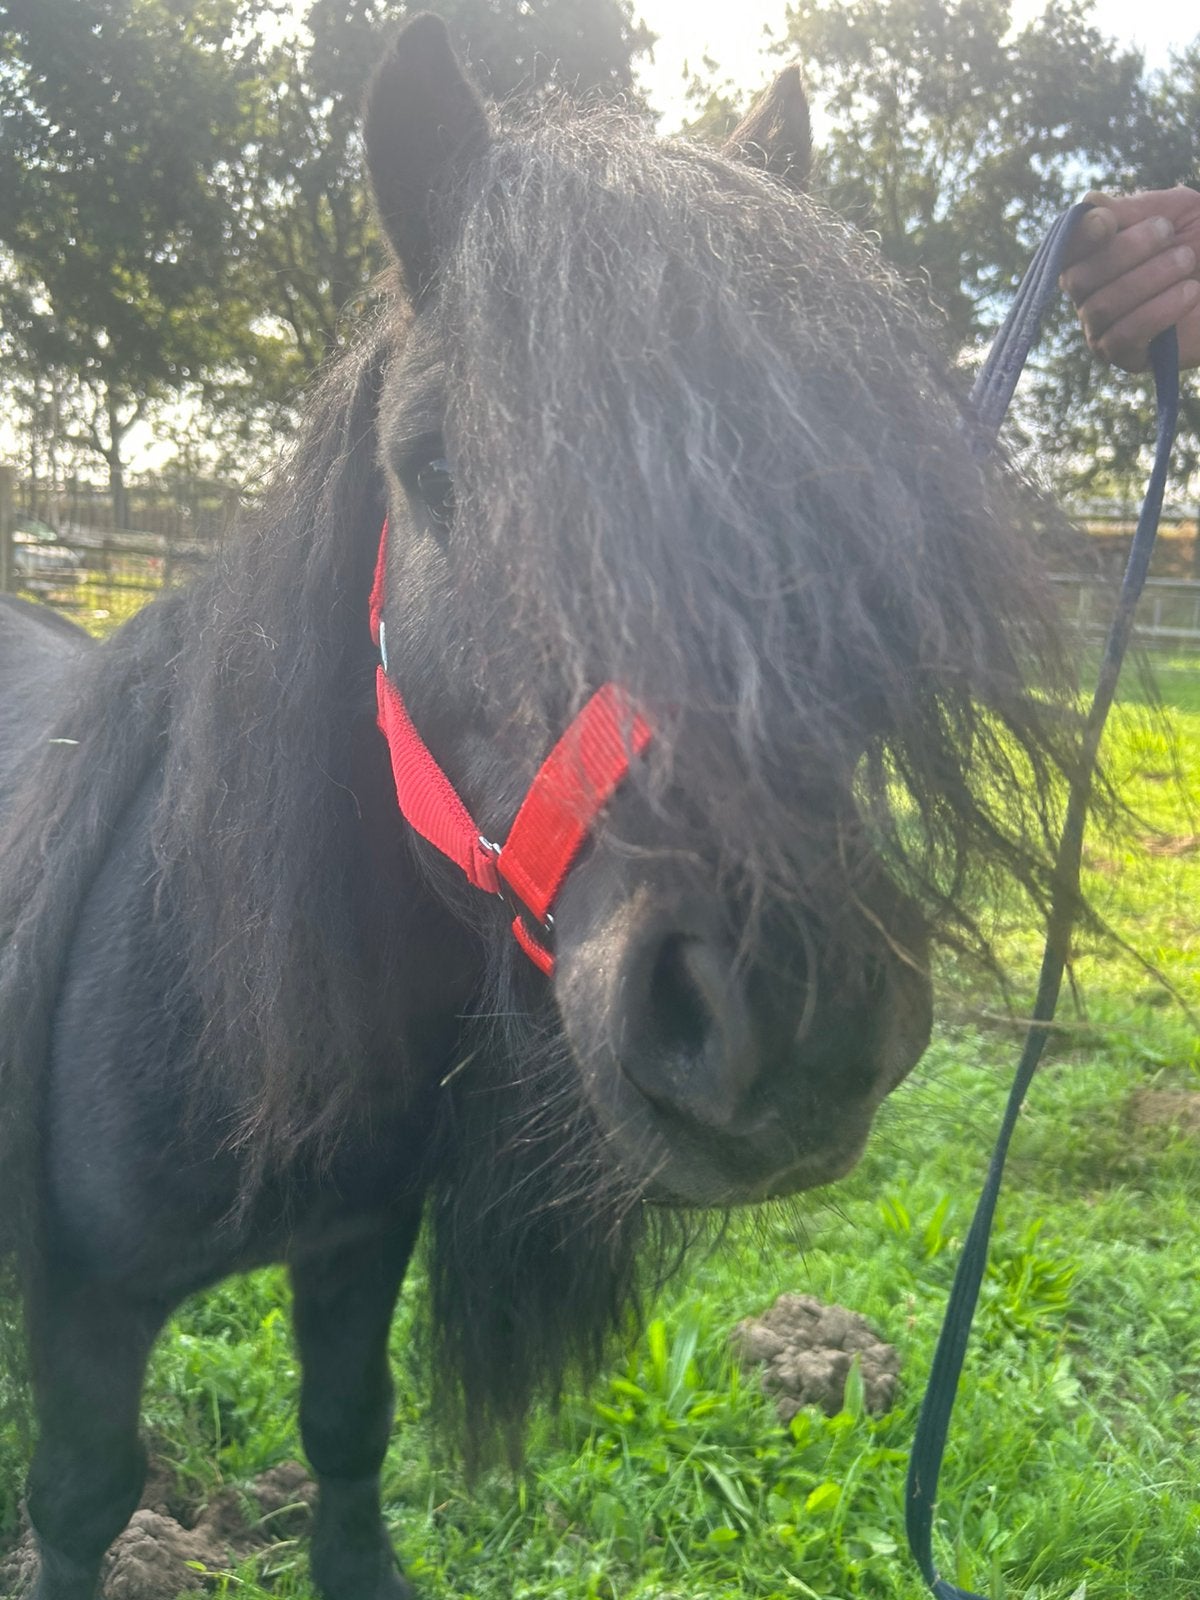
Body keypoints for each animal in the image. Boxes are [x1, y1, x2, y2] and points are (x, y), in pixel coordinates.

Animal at [0, 14, 1076, 1599]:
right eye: (433, 464)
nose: (787, 1013)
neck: (216, 994)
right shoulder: (87, 1307)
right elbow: (81, 1502)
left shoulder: (357, 1247)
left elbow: (346, 1433)